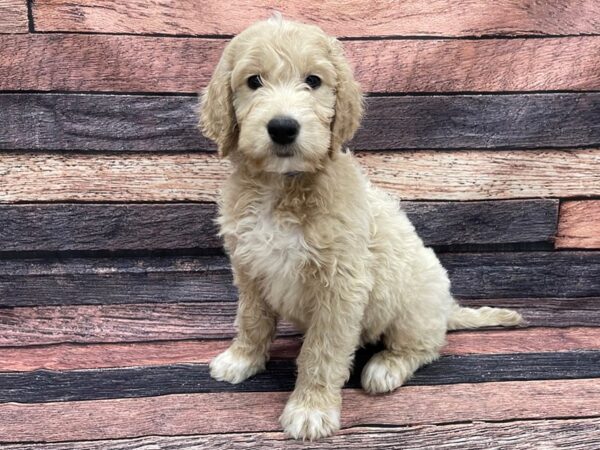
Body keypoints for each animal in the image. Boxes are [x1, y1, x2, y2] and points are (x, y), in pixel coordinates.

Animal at [200, 14, 520, 442]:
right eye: (254, 81)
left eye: (313, 81)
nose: (283, 127)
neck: (282, 186)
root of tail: (447, 308)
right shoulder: (250, 270)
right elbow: (252, 321)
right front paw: (242, 359)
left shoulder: (341, 285)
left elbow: (322, 351)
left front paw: (310, 409)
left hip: (413, 306)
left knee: (424, 346)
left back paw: (385, 367)